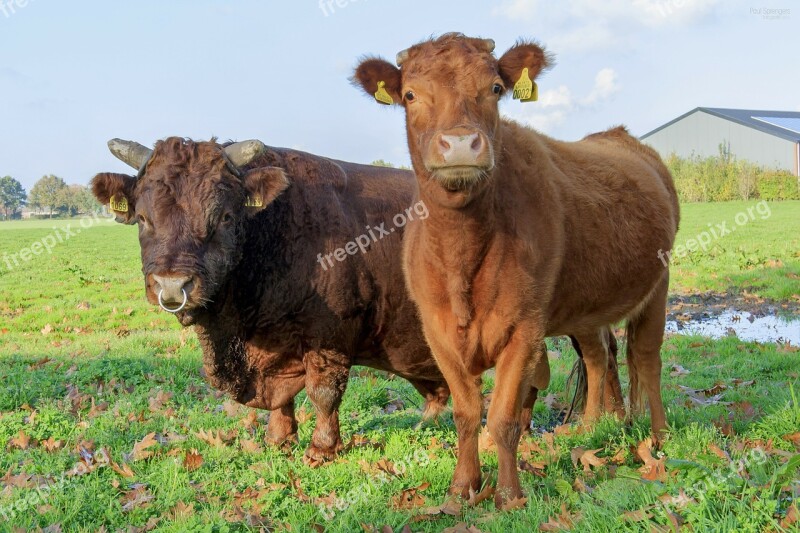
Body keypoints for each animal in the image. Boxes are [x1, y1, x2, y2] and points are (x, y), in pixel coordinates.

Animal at [354, 35, 680, 504]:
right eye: (411, 95)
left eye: (495, 89)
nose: (460, 143)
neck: (461, 259)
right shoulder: (437, 331)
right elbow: (467, 413)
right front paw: (462, 488)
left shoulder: (525, 327)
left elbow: (504, 416)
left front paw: (509, 495)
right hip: (586, 308)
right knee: (599, 356)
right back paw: (589, 427)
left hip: (658, 285)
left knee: (647, 358)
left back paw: (658, 436)